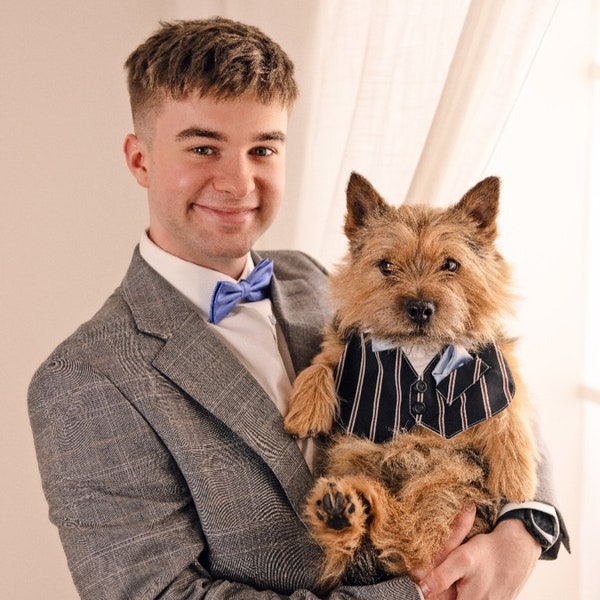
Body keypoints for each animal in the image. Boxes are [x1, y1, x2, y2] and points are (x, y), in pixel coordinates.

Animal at [284, 172, 536, 592]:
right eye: (386, 266)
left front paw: (517, 476)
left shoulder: (494, 361)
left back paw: (351, 508)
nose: (420, 308)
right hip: (359, 460)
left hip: (450, 483)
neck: (418, 350)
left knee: (410, 533)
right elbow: (322, 361)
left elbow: (508, 403)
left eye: (451, 264)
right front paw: (306, 408)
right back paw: (345, 510)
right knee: (395, 536)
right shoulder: (346, 343)